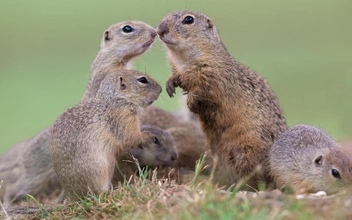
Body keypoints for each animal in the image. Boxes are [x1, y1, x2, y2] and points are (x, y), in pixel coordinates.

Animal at [49, 69, 162, 200]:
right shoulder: (124, 119)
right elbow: (131, 137)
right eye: (142, 80)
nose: (161, 89)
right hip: (99, 171)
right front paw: (147, 136)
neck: (115, 101)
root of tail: (70, 193)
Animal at [157, 10, 288, 189]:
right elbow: (178, 78)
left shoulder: (212, 73)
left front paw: (191, 102)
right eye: (167, 15)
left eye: (188, 20)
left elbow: (203, 90)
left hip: (246, 149)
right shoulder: (179, 70)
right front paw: (170, 85)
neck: (183, 59)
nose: (159, 30)